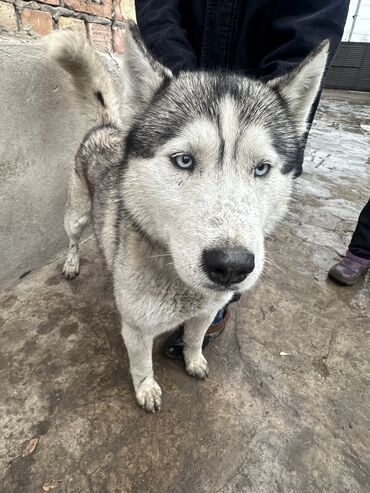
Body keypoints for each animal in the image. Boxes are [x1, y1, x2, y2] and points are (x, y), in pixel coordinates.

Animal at [47, 23, 328, 412]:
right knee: (73, 239)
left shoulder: (205, 313)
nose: (231, 266)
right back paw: (73, 263)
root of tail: (108, 127)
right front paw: (146, 389)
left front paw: (194, 361)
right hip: (75, 215)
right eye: (184, 160)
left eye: (262, 168)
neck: (180, 285)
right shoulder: (136, 328)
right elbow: (141, 365)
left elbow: (195, 339)